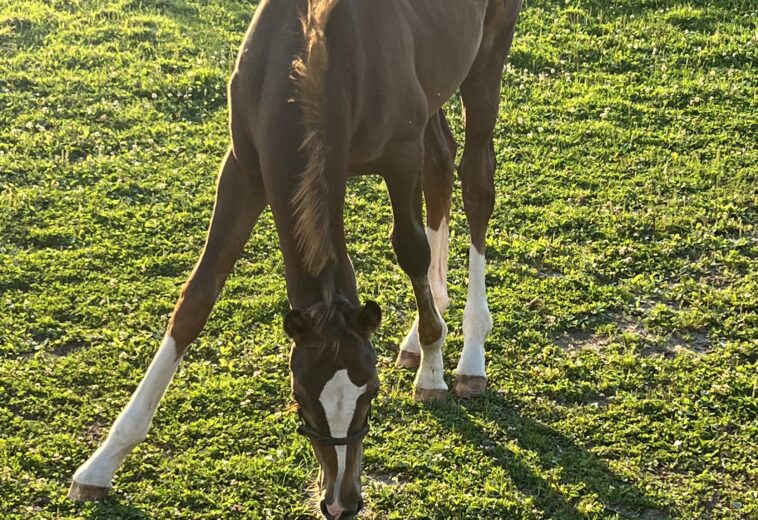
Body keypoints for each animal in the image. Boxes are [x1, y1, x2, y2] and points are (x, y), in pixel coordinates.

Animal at [68, 0, 522, 518]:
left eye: (371, 393)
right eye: (300, 396)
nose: (341, 502)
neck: (315, 52)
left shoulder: (399, 157)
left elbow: (410, 249)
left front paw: (432, 368)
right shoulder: (244, 168)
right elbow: (197, 297)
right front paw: (103, 462)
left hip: (488, 56)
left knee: (475, 180)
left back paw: (469, 354)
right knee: (441, 161)